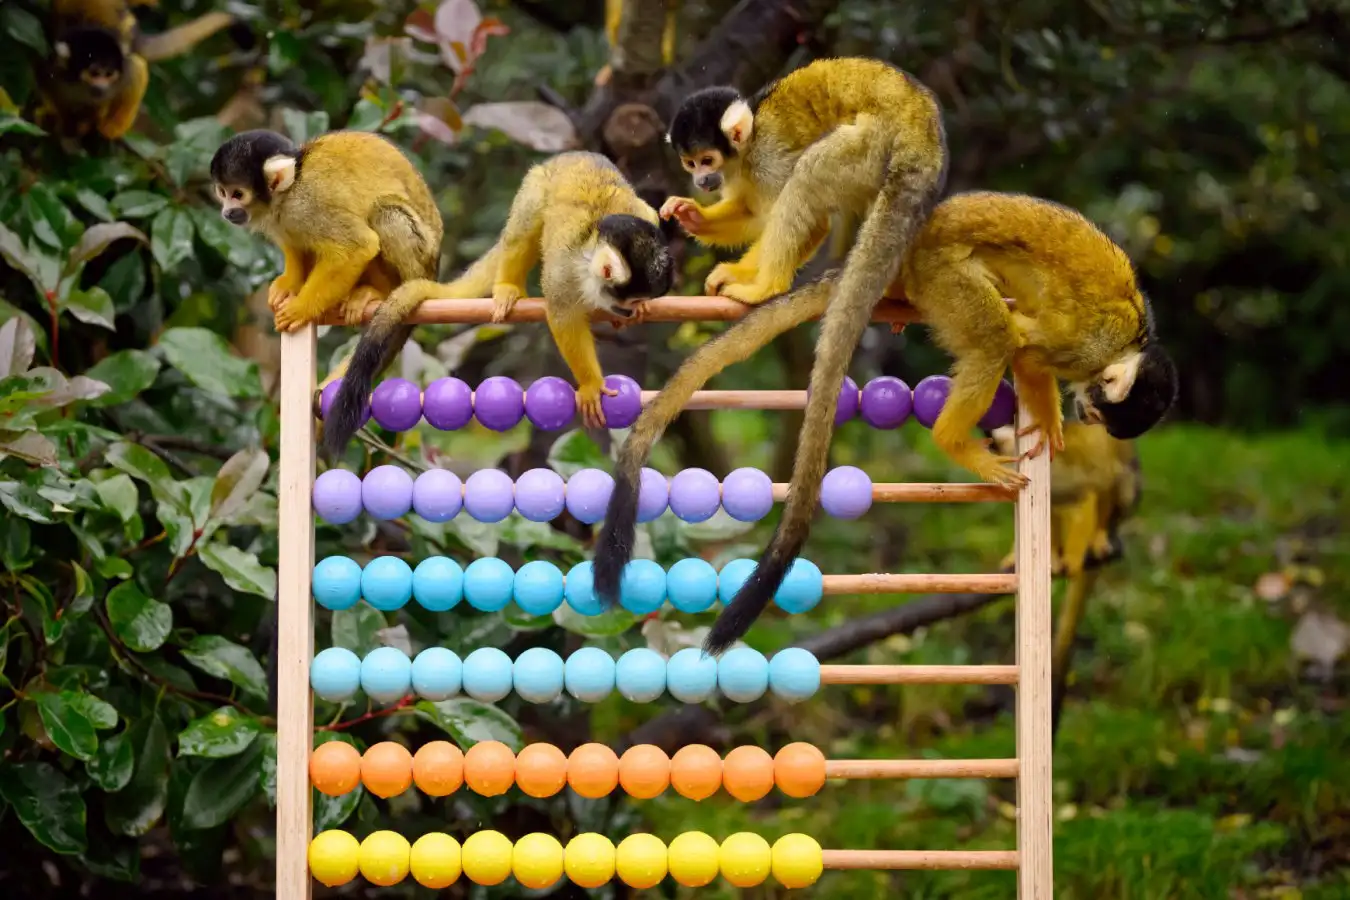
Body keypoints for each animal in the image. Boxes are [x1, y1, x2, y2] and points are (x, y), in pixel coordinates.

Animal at [37, 0, 236, 140]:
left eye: (109, 75)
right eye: (94, 74)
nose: (101, 88)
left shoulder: (120, 74)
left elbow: (135, 70)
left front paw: (102, 125)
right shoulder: (51, 70)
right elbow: (45, 82)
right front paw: (65, 120)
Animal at [319, 151, 674, 460]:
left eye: (639, 301)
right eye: (629, 300)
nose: (631, 310)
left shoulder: (645, 219)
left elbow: (650, 212)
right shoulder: (565, 265)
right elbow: (562, 315)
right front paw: (591, 384)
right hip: (534, 182)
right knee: (526, 223)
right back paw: (507, 286)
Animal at [593, 190, 1177, 655]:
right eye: (1096, 409)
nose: (1083, 411)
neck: (1131, 343)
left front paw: (1054, 422)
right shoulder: (1086, 345)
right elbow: (1031, 352)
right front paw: (1051, 414)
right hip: (942, 274)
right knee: (998, 337)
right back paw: (954, 438)